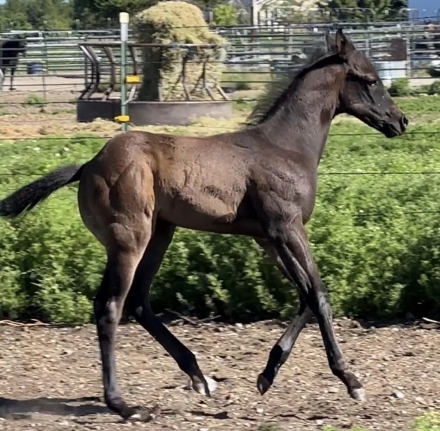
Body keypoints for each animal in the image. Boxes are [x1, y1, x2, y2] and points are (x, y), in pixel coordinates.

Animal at [0, 30, 410, 422]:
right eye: (371, 79)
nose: (401, 121)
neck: (286, 146)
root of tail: (88, 165)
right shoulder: (287, 228)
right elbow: (320, 295)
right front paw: (351, 380)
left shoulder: (268, 238)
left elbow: (305, 296)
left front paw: (267, 374)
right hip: (129, 240)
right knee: (110, 306)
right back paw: (125, 405)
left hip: (161, 234)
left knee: (138, 302)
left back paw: (199, 376)